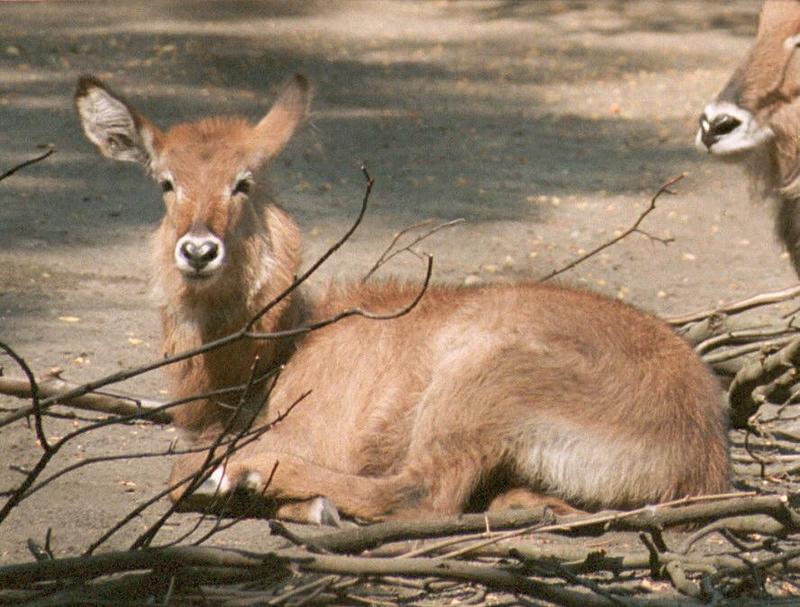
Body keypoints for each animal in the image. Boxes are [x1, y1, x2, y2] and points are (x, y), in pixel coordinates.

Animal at [76, 75, 732, 524]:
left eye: (245, 181)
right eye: (166, 181)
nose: (198, 250)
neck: (280, 354)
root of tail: (698, 452)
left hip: (476, 386)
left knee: (421, 495)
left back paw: (250, 479)